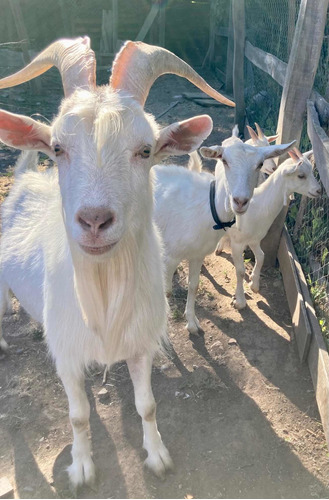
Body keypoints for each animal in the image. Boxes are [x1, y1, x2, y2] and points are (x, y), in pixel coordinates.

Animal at [0, 38, 233, 488]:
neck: (104, 293)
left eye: (145, 150)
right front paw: (82, 468)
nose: (94, 220)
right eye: (58, 148)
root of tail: (24, 176)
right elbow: (78, 415)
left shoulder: (140, 344)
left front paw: (158, 457)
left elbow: (147, 405)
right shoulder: (67, 353)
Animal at [152, 134, 294, 336]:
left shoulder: (198, 254)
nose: (240, 201)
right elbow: (166, 291)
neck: (206, 208)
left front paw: (192, 323)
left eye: (259, 164)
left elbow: (193, 286)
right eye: (224, 161)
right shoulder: (172, 253)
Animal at [215, 146, 320, 308]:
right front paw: (240, 301)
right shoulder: (238, 242)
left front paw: (254, 285)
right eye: (301, 175)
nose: (319, 190)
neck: (259, 204)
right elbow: (240, 271)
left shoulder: (255, 239)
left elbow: (261, 256)